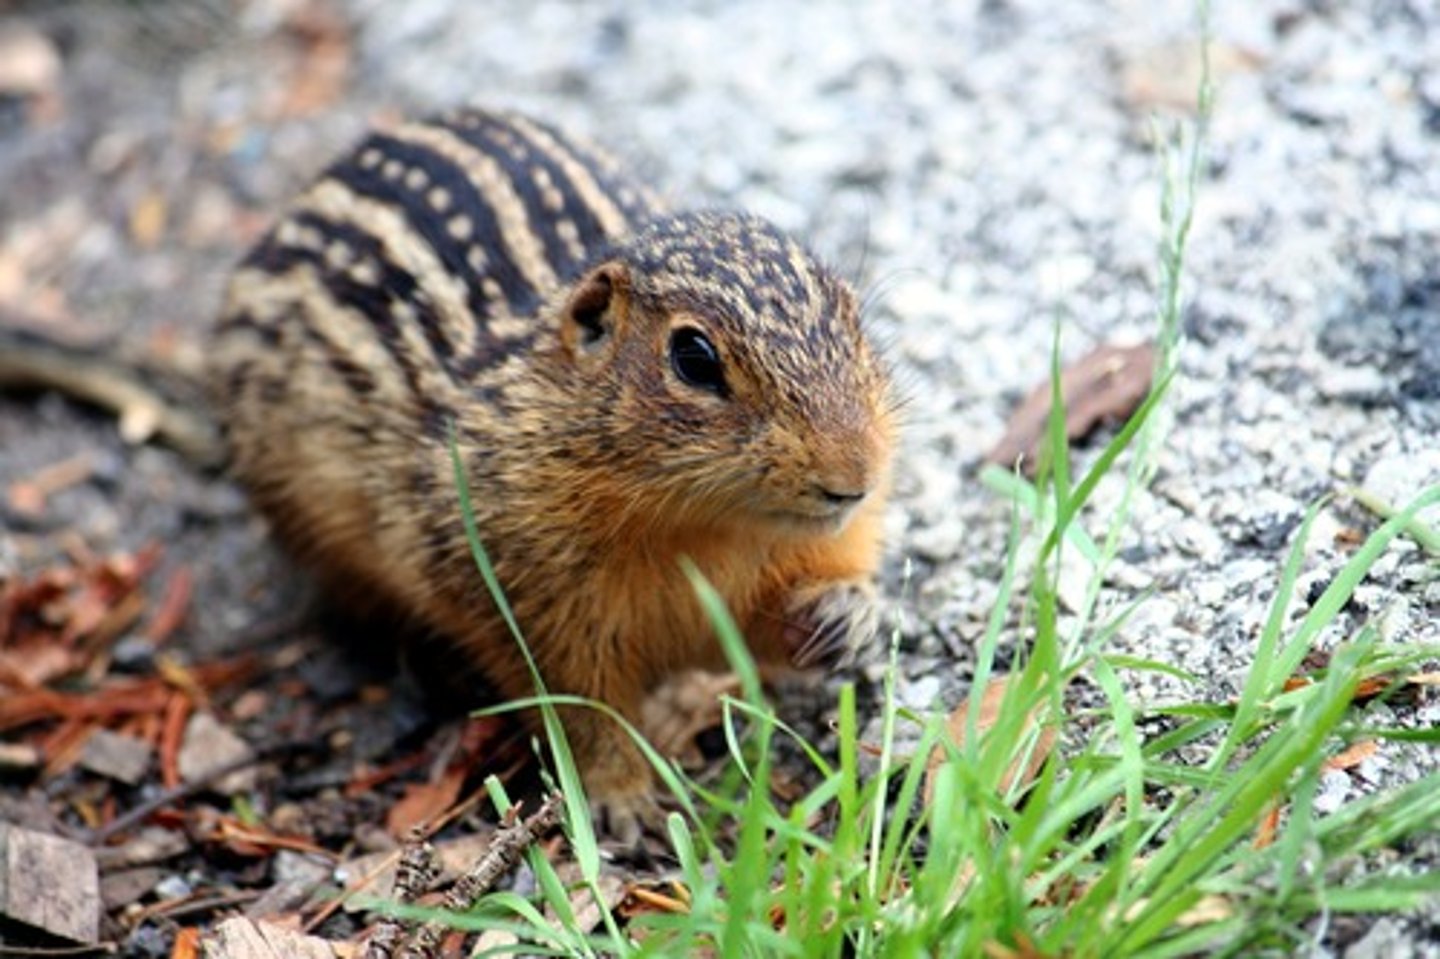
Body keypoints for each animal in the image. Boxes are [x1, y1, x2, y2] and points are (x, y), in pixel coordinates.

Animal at [6, 107, 898, 841]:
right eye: (694, 358)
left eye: (853, 313)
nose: (853, 476)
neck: (701, 525)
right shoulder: (514, 595)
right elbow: (577, 702)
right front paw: (619, 795)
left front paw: (844, 617)